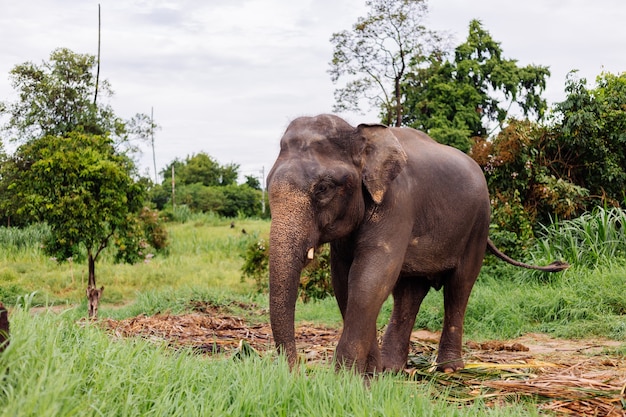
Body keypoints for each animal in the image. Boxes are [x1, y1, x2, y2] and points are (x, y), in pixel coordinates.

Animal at [264, 114, 564, 374]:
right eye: (267, 185)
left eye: (323, 188)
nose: (295, 372)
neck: (360, 133)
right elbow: (344, 281)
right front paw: (370, 372)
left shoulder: (398, 204)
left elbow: (369, 277)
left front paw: (345, 378)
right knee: (409, 292)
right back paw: (392, 368)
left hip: (478, 225)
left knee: (459, 287)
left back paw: (449, 368)